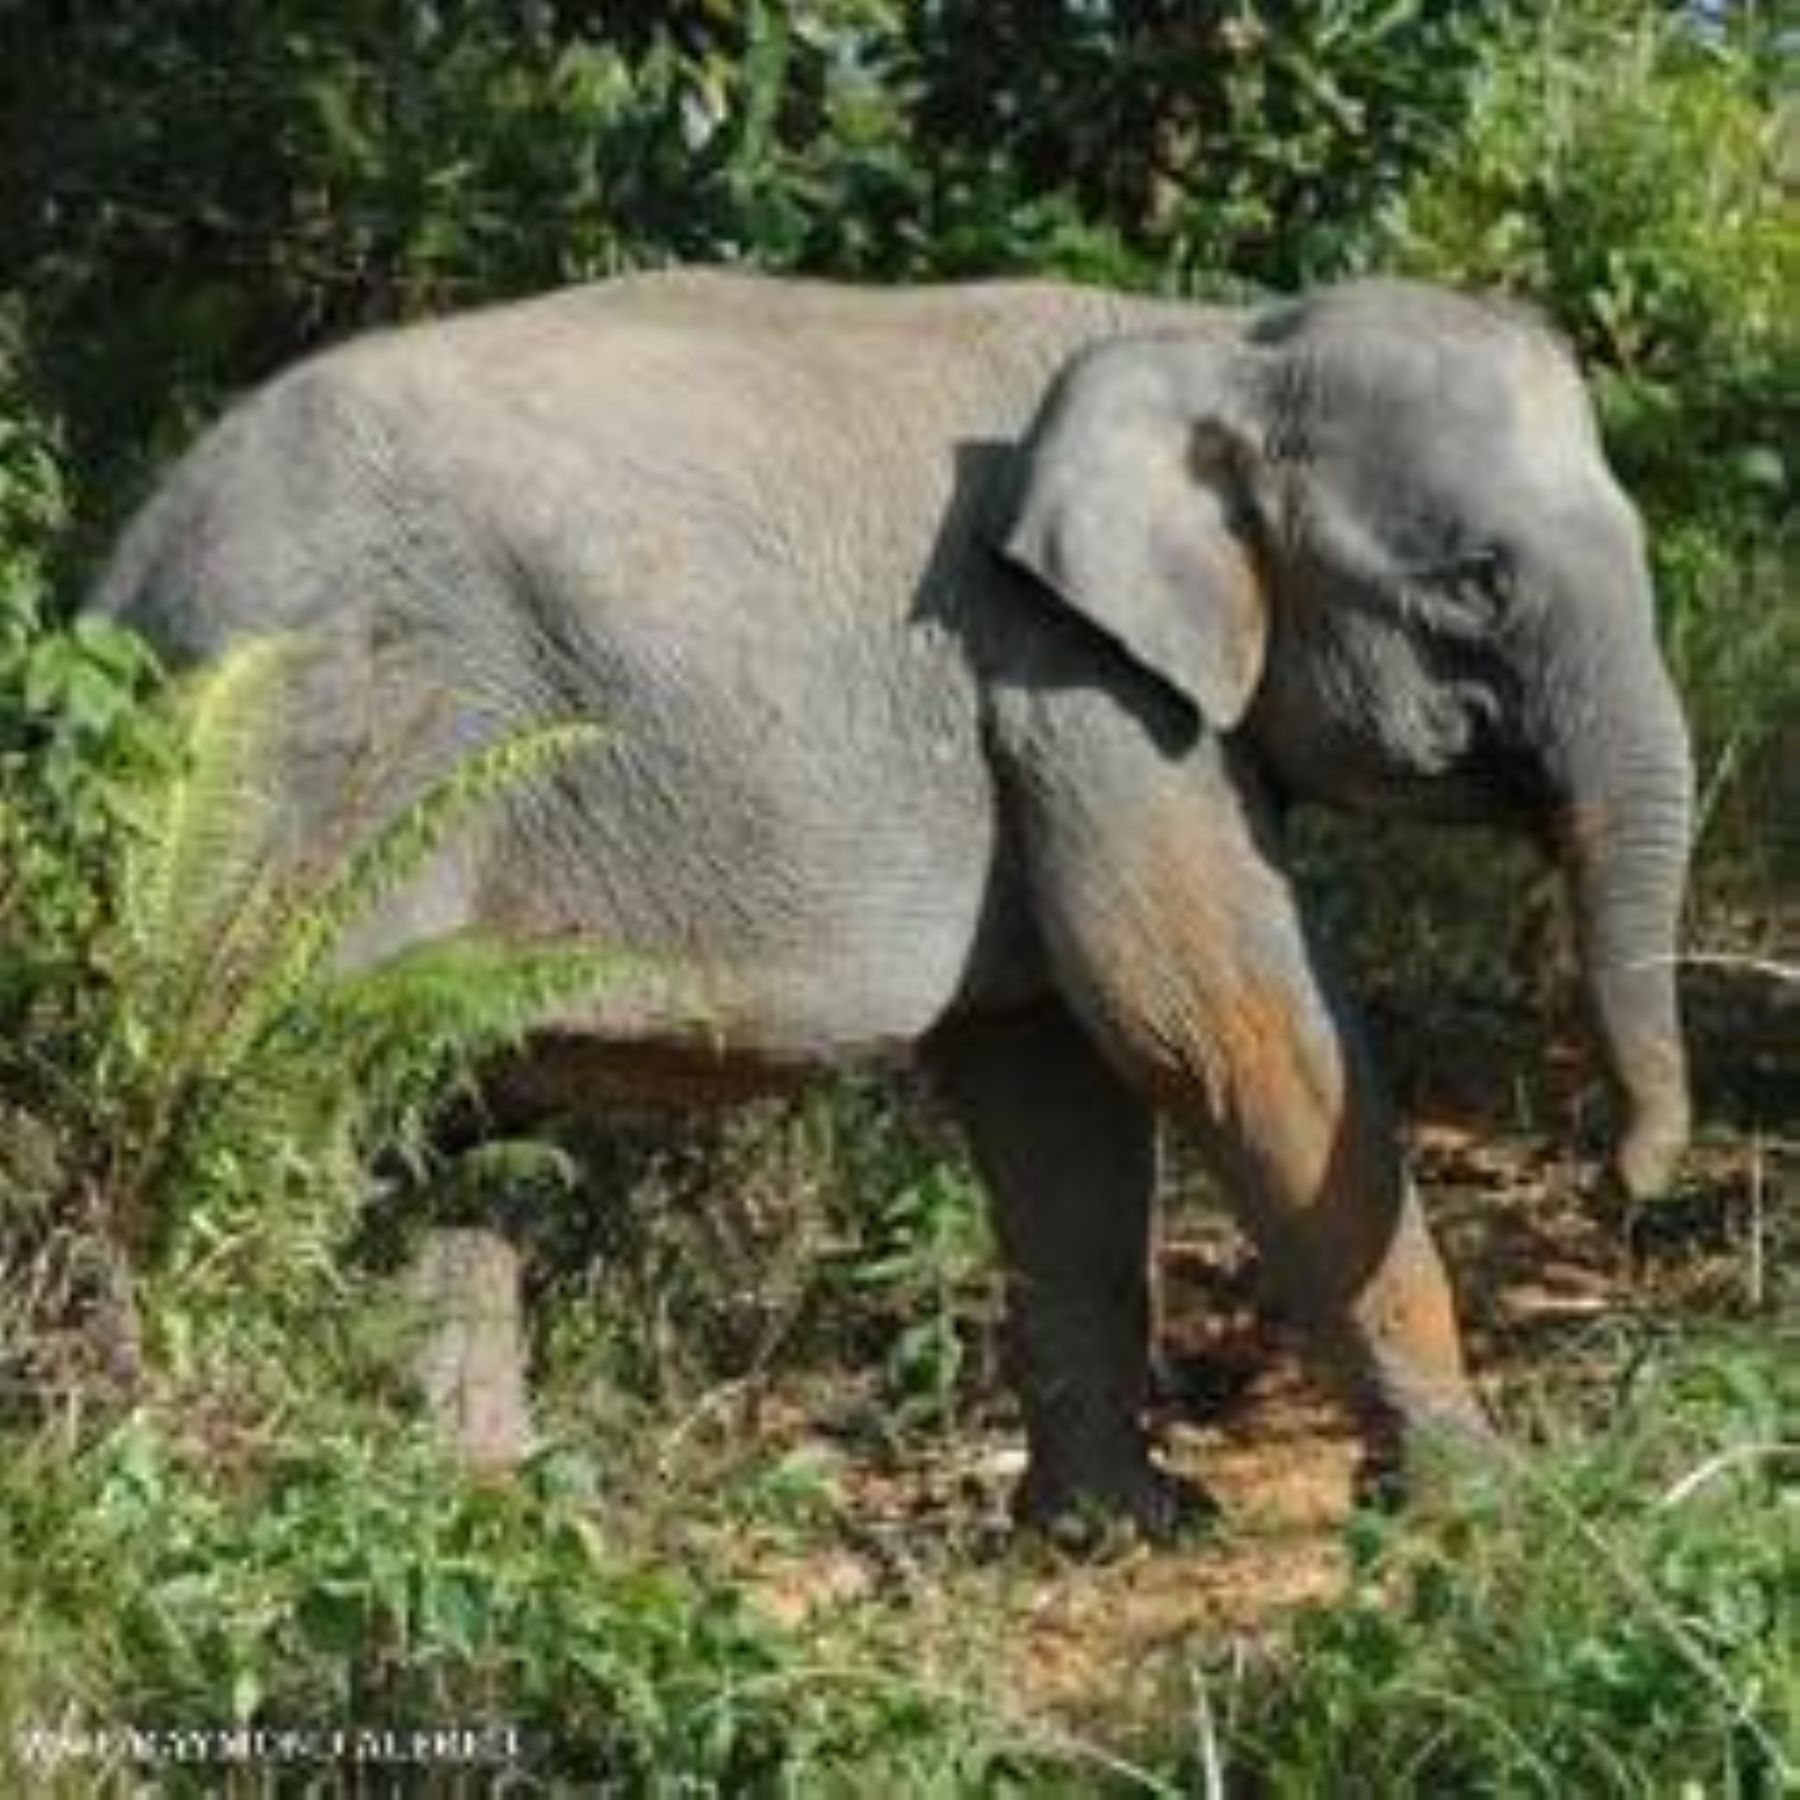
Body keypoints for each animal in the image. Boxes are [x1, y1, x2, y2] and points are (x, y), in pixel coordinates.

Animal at [91, 266, 1692, 1533]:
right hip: (308, 772)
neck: (1212, 329)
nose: (1621, 1178)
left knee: (428, 1118)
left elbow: (1056, 1084)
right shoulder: (1072, 679)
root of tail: (123, 570)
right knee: (265, 1103)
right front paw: (1493, 1508)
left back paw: (498, 1518)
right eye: (1474, 581)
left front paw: (1118, 1532)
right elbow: (1212, 1023)